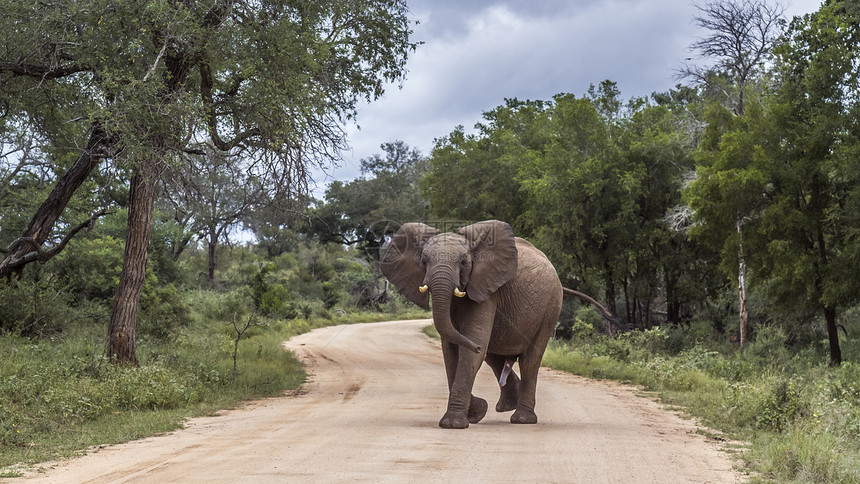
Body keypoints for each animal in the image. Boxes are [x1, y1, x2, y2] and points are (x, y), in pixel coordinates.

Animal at [380, 219, 608, 428]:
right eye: (424, 261)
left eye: (464, 262)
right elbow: (451, 353)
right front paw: (475, 413)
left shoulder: (488, 292)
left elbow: (470, 351)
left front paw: (454, 423)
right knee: (492, 354)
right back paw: (506, 406)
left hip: (551, 306)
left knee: (529, 360)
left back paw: (522, 419)